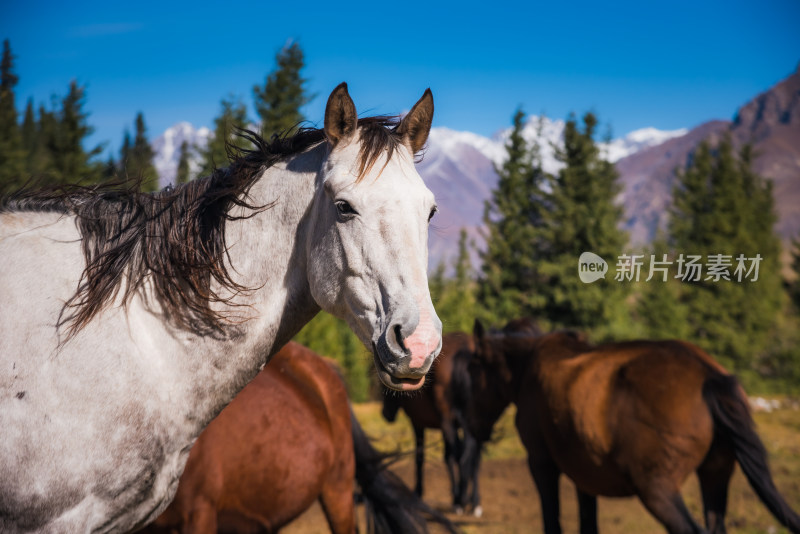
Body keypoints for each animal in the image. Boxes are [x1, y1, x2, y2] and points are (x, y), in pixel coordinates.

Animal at [382, 336, 482, 516]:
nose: (386, 414)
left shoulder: (418, 424)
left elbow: (420, 457)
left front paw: (418, 492)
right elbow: (449, 457)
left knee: (461, 455)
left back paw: (461, 501)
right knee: (474, 456)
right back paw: (474, 502)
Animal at [468, 320, 800, 534]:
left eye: (473, 366)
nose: (473, 429)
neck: (528, 365)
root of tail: (709, 375)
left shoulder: (541, 464)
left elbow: (552, 521)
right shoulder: (584, 476)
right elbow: (588, 524)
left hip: (657, 490)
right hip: (715, 476)